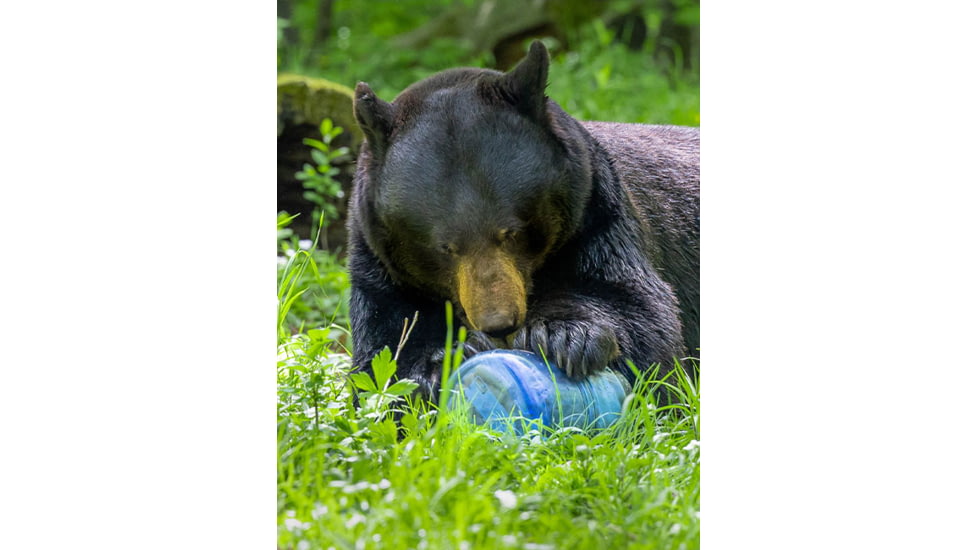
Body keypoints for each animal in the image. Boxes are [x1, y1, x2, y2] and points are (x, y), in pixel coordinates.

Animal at [347, 41, 699, 401]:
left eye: (511, 233)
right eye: (445, 247)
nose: (499, 323)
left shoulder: (598, 212)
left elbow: (641, 311)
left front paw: (564, 336)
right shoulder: (379, 262)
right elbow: (384, 344)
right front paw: (437, 366)